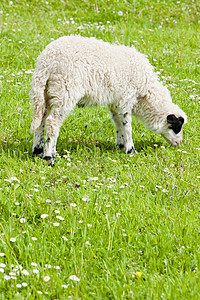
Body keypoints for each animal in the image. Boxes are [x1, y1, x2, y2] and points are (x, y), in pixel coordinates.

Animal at [30, 36, 187, 166]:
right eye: (177, 126)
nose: (179, 144)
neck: (144, 90)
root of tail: (46, 63)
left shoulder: (115, 101)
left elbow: (117, 121)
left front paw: (120, 144)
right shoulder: (126, 98)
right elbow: (127, 125)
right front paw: (130, 149)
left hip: (46, 93)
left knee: (41, 119)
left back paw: (37, 151)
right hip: (65, 91)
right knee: (52, 122)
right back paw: (50, 157)